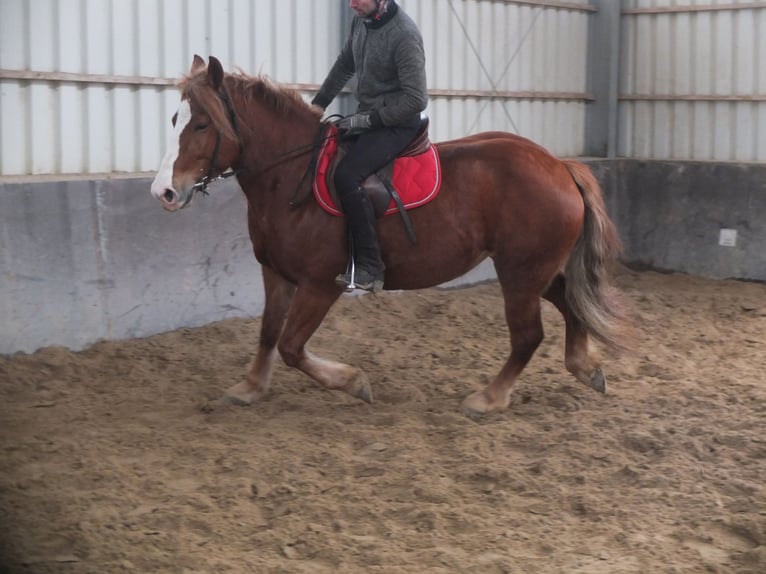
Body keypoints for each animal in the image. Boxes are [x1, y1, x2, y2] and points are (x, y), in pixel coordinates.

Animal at [152, 56, 632, 416]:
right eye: (174, 118)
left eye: (201, 125)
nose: (164, 192)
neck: (291, 176)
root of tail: (559, 166)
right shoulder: (277, 273)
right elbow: (269, 333)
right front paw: (250, 387)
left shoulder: (320, 284)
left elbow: (291, 345)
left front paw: (352, 381)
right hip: (533, 271)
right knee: (569, 301)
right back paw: (585, 367)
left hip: (519, 273)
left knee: (528, 335)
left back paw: (490, 397)